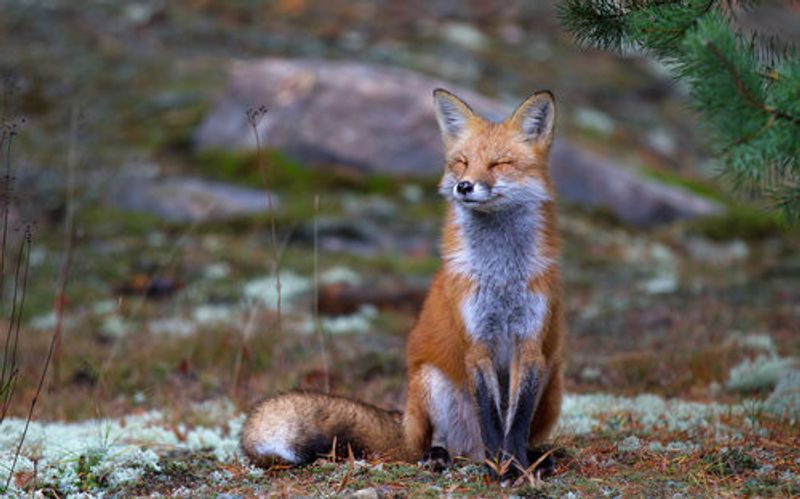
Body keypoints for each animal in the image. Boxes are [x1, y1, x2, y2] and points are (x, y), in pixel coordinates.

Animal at [241, 88, 564, 479]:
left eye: (499, 164)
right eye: (461, 162)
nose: (464, 186)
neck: (500, 274)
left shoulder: (529, 343)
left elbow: (513, 423)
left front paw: (515, 467)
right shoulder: (476, 343)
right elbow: (492, 418)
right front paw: (499, 469)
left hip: (552, 379)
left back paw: (538, 457)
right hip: (430, 382)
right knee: (436, 442)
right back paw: (441, 457)